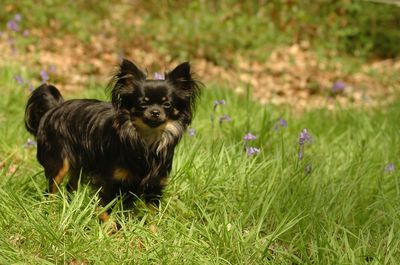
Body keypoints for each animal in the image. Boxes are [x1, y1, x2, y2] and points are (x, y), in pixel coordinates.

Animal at [24, 58, 200, 221]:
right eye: (143, 103)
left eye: (167, 104)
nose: (155, 112)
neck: (147, 139)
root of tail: (54, 108)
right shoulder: (107, 182)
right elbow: (105, 211)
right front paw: (111, 232)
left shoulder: (154, 186)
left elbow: (151, 216)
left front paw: (149, 232)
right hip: (59, 165)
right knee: (51, 191)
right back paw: (52, 212)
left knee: (70, 186)